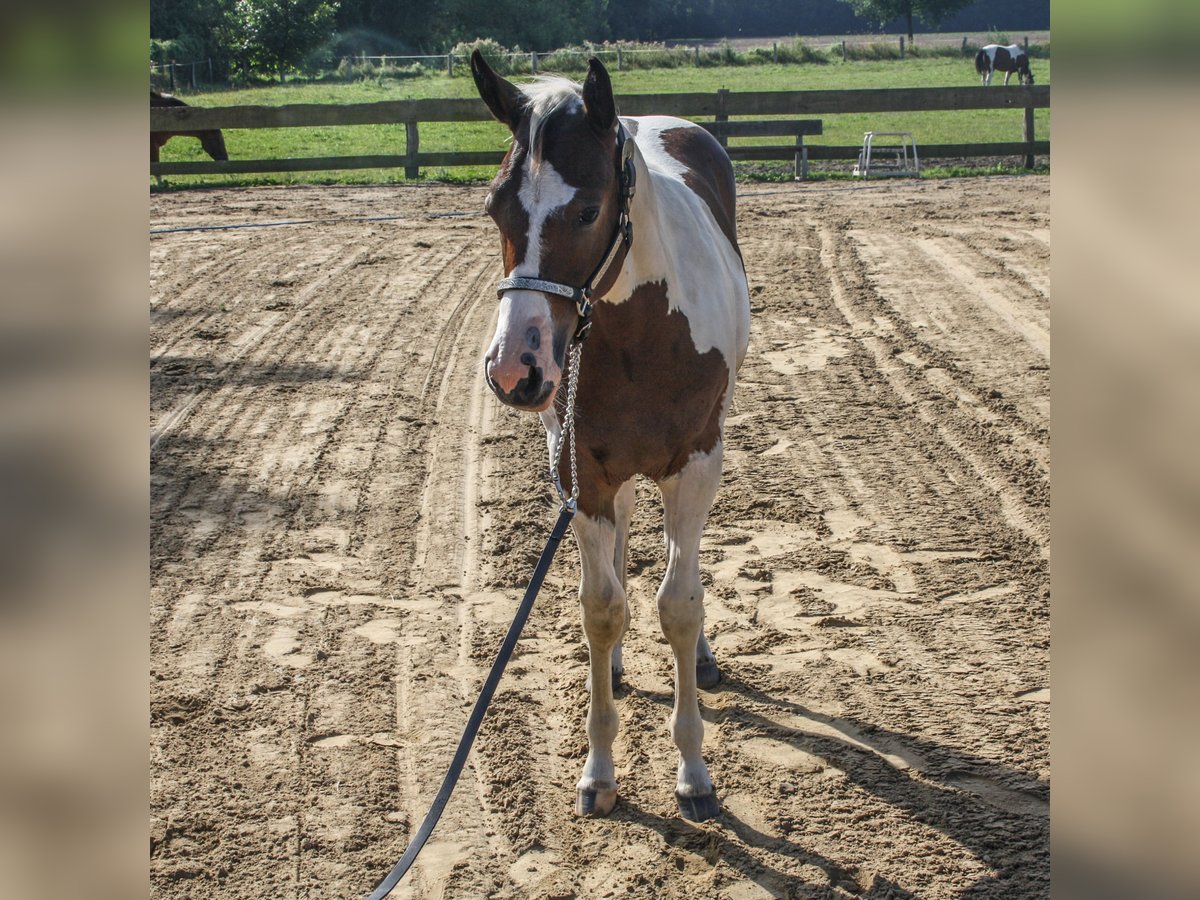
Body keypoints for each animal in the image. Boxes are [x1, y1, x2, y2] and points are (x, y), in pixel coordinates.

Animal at [470, 52, 744, 820]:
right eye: (497, 207)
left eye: (589, 210)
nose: (516, 369)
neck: (639, 336)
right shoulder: (583, 472)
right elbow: (601, 609)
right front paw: (599, 771)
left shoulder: (697, 464)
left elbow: (680, 605)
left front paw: (694, 772)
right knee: (620, 549)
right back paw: (620, 667)